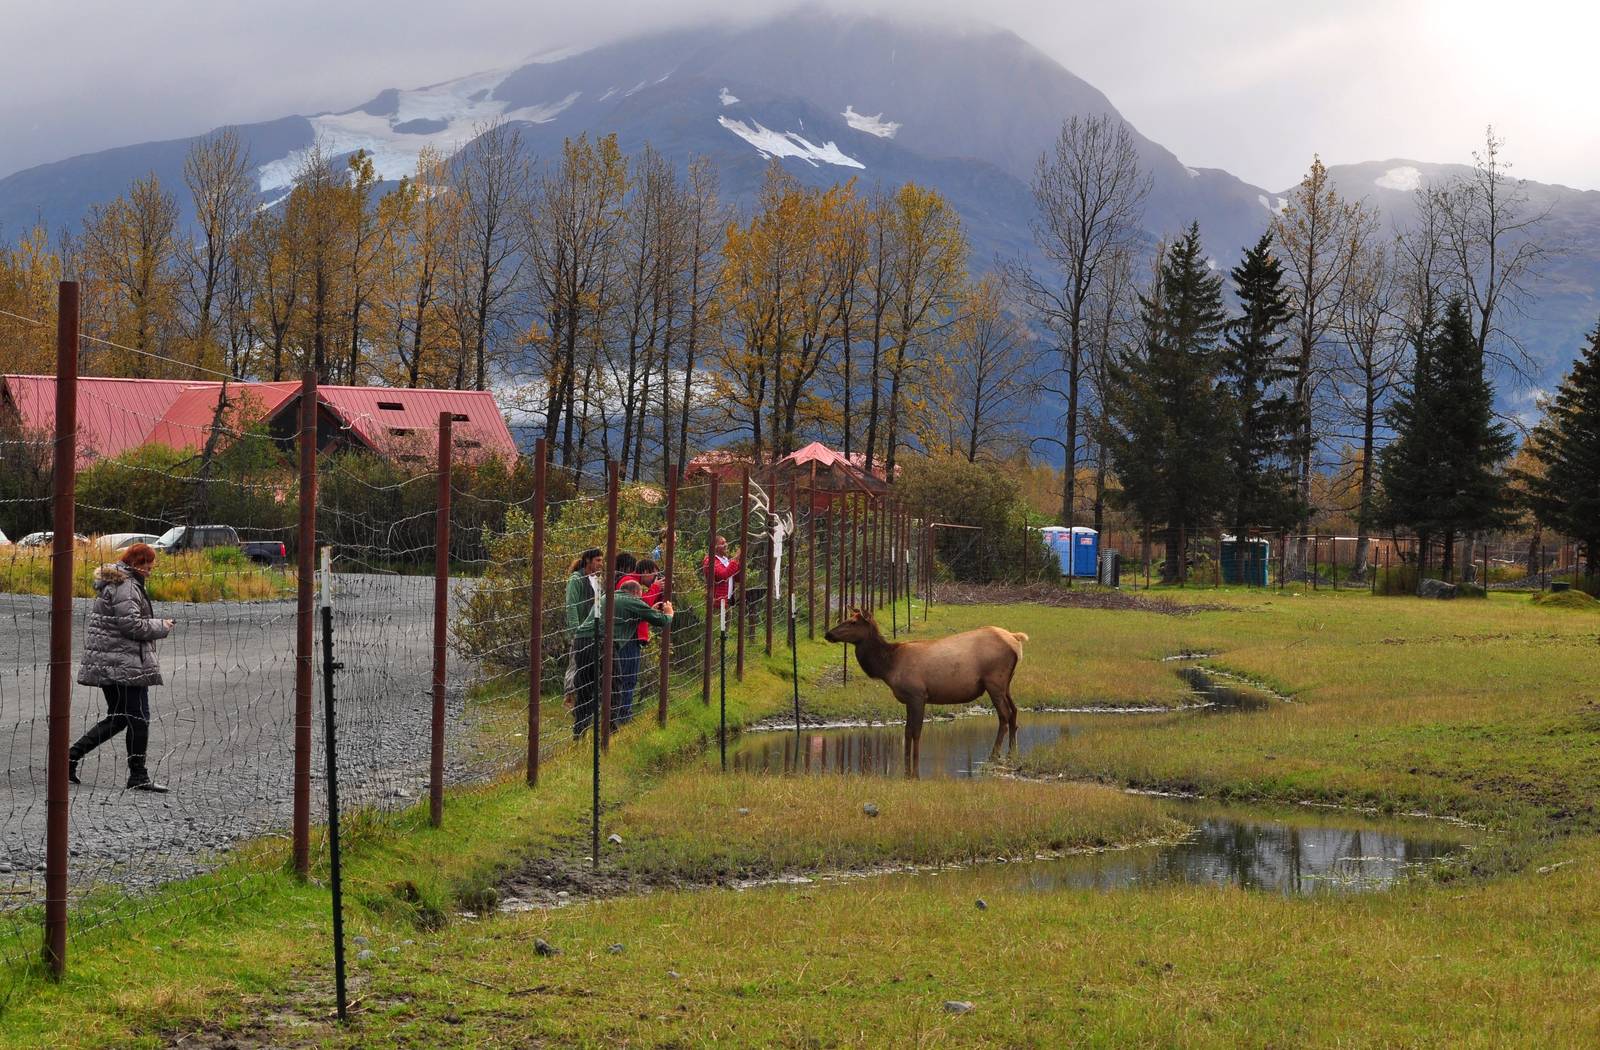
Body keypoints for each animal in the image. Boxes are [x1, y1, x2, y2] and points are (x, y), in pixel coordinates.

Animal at [825, 609, 1027, 777]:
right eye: (846, 618)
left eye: (853, 622)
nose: (828, 634)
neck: (888, 667)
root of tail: (1015, 639)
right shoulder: (908, 699)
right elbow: (907, 731)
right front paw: (906, 763)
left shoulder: (917, 695)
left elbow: (916, 731)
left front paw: (914, 766)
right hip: (1005, 684)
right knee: (1014, 711)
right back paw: (1012, 753)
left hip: (994, 681)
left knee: (1004, 715)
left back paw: (993, 756)